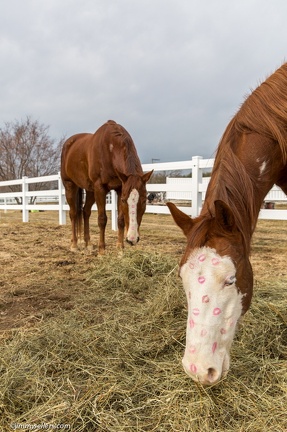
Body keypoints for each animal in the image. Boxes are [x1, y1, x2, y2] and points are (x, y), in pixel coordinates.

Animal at [61, 119, 153, 253]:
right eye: (124, 200)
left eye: (144, 200)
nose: (132, 238)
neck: (110, 149)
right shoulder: (100, 188)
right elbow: (102, 219)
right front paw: (102, 250)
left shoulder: (120, 188)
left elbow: (120, 219)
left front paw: (120, 247)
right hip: (70, 185)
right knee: (73, 213)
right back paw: (74, 245)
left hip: (91, 191)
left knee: (86, 212)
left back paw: (88, 243)